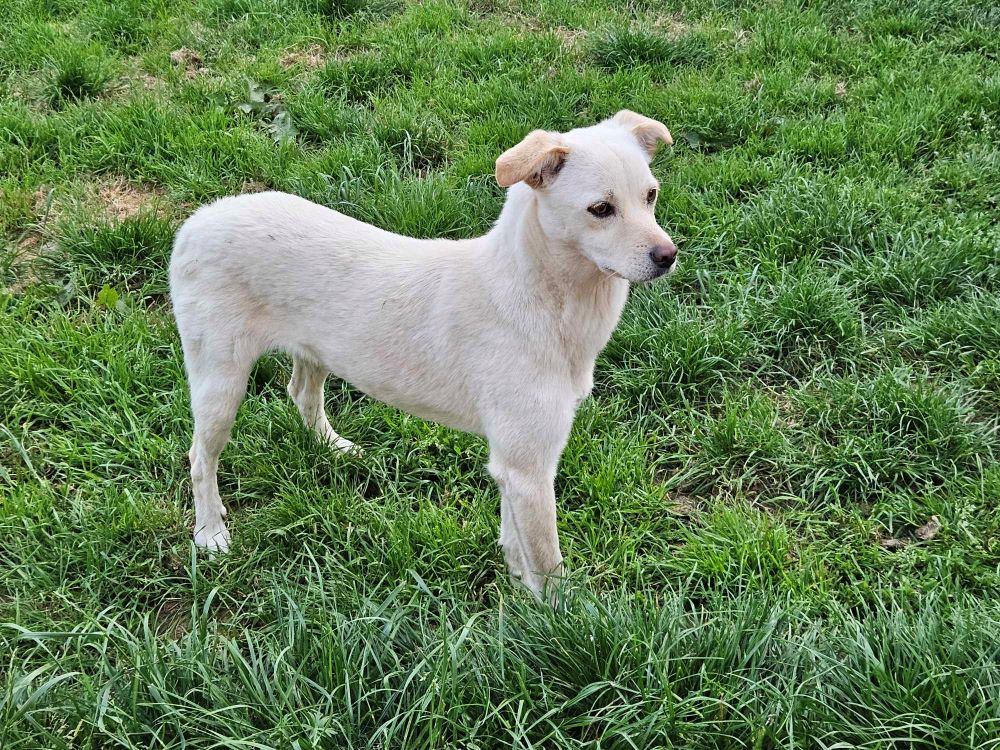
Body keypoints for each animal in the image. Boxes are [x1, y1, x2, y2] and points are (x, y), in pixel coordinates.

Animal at [172, 110, 676, 600]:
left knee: (300, 392)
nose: (669, 255)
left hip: (314, 349)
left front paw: (518, 591)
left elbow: (515, 543)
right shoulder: (528, 469)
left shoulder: (513, 469)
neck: (539, 293)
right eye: (600, 209)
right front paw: (560, 618)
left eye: (651, 196)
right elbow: (548, 568)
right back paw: (210, 531)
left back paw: (332, 447)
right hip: (220, 383)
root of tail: (200, 218)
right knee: (199, 457)